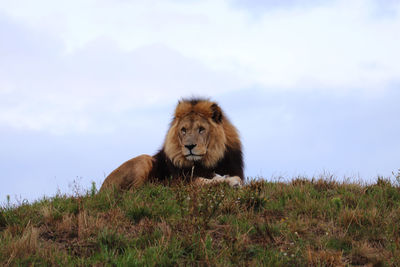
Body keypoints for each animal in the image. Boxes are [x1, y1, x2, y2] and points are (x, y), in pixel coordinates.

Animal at [100, 97, 244, 192]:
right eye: (183, 130)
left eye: (201, 129)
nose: (189, 146)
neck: (208, 161)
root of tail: (100, 191)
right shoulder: (181, 181)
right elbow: (204, 181)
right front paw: (229, 181)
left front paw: (230, 179)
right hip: (143, 160)